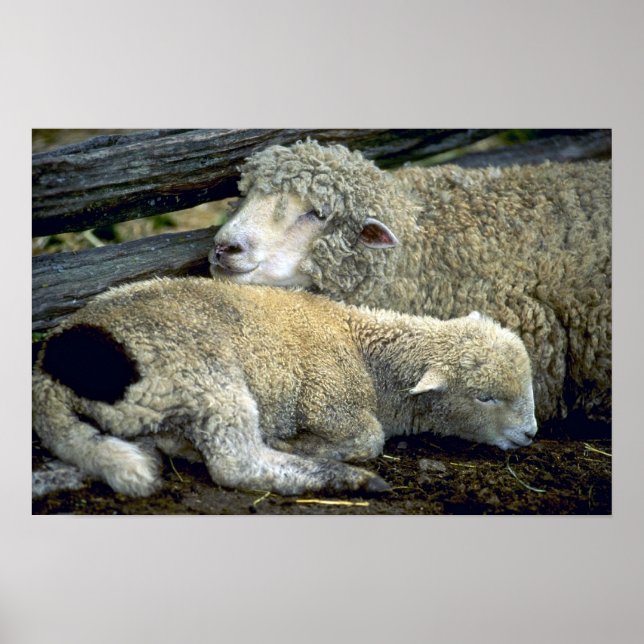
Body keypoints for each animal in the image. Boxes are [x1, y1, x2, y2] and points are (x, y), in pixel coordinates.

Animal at [32, 277, 536, 497]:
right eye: (484, 396)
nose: (531, 434)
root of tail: (50, 374)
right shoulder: (332, 401)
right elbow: (369, 439)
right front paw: (303, 445)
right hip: (208, 379)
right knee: (236, 465)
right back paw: (349, 478)